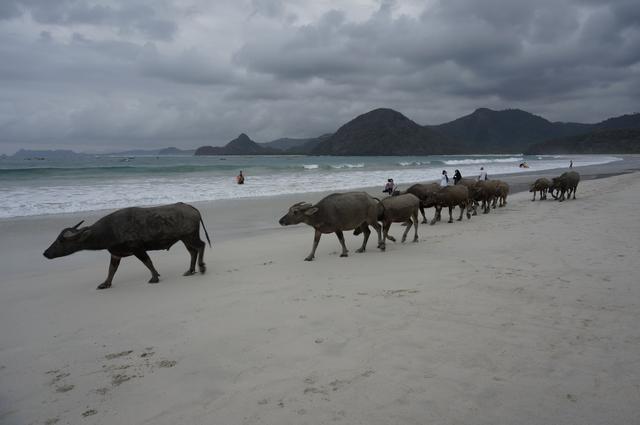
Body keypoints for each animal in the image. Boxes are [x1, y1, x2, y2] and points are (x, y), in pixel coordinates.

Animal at [43, 202, 212, 288]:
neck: (110, 229)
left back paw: (202, 267)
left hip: (190, 236)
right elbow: (111, 269)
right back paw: (190, 270)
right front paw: (106, 283)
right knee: (193, 251)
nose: (45, 253)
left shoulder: (137, 249)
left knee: (201, 246)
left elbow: (148, 262)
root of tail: (192, 208)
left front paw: (154, 277)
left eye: (61, 240)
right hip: (185, 239)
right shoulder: (115, 253)